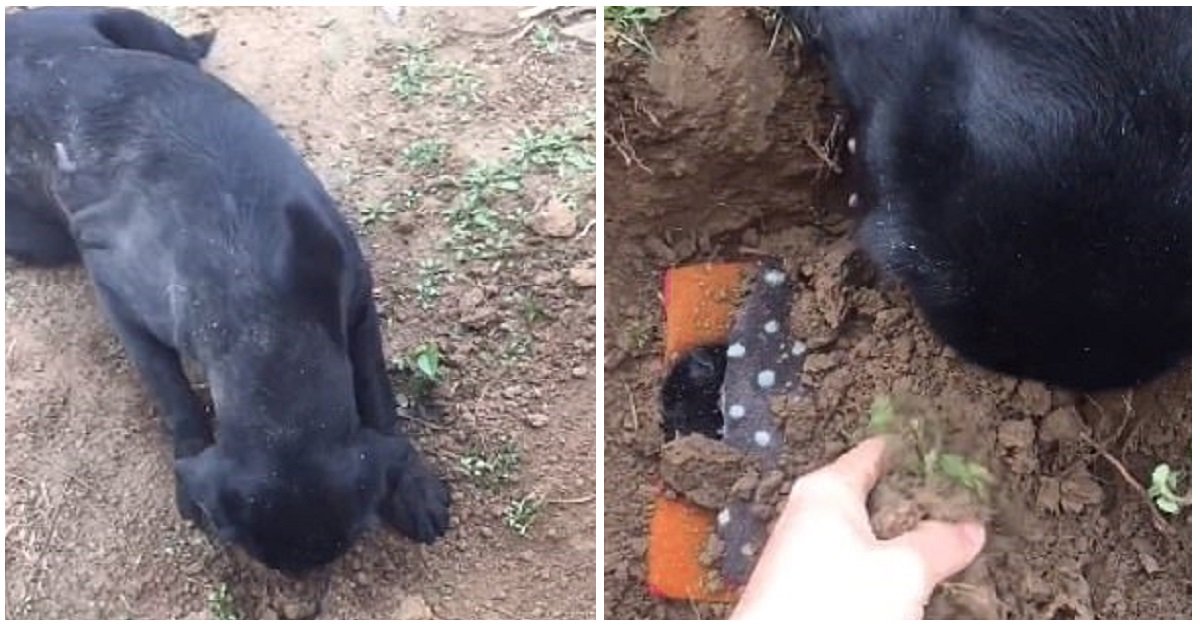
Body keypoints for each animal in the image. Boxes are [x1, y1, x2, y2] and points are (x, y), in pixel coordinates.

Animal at [5, 6, 451, 573]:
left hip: (143, 29)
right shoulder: (123, 299)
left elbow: (378, 392)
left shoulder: (357, 296)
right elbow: (171, 392)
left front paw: (419, 496)